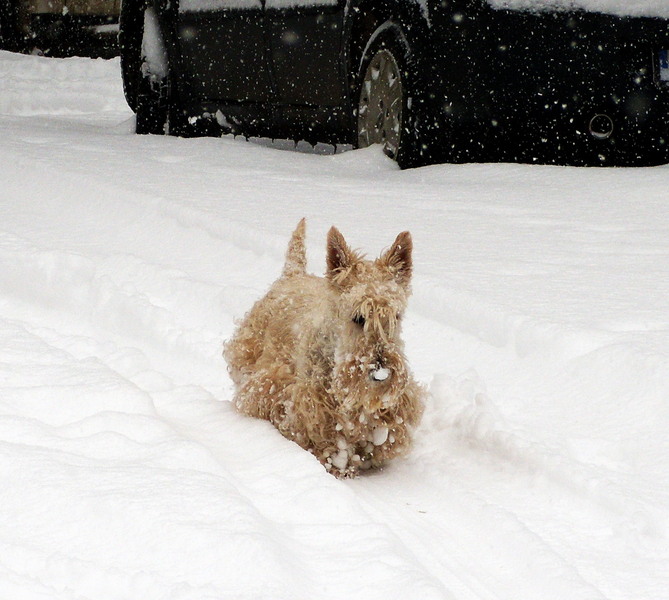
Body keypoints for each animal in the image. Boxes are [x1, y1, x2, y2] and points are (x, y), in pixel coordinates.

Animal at [224, 219, 425, 477]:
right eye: (358, 317)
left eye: (396, 316)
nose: (380, 373)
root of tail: (292, 274)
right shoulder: (305, 400)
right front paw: (339, 463)